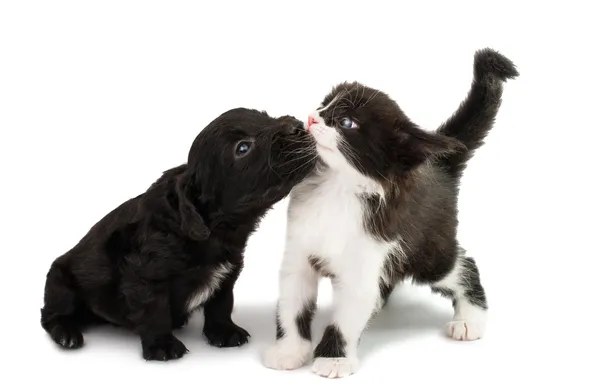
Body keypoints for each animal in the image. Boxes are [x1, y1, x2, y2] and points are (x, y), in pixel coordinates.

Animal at [39, 108, 316, 360]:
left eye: (267, 117)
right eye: (243, 148)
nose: (298, 125)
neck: (213, 230)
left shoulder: (228, 271)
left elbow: (221, 303)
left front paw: (224, 332)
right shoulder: (144, 276)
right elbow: (155, 310)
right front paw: (162, 345)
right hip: (59, 283)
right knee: (51, 315)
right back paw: (67, 334)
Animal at [264, 48, 516, 378]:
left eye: (346, 122)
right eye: (323, 105)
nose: (310, 117)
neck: (336, 188)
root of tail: (438, 166)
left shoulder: (365, 261)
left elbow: (344, 319)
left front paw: (334, 359)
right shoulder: (299, 256)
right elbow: (292, 306)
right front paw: (289, 351)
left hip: (427, 253)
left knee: (464, 264)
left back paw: (468, 320)